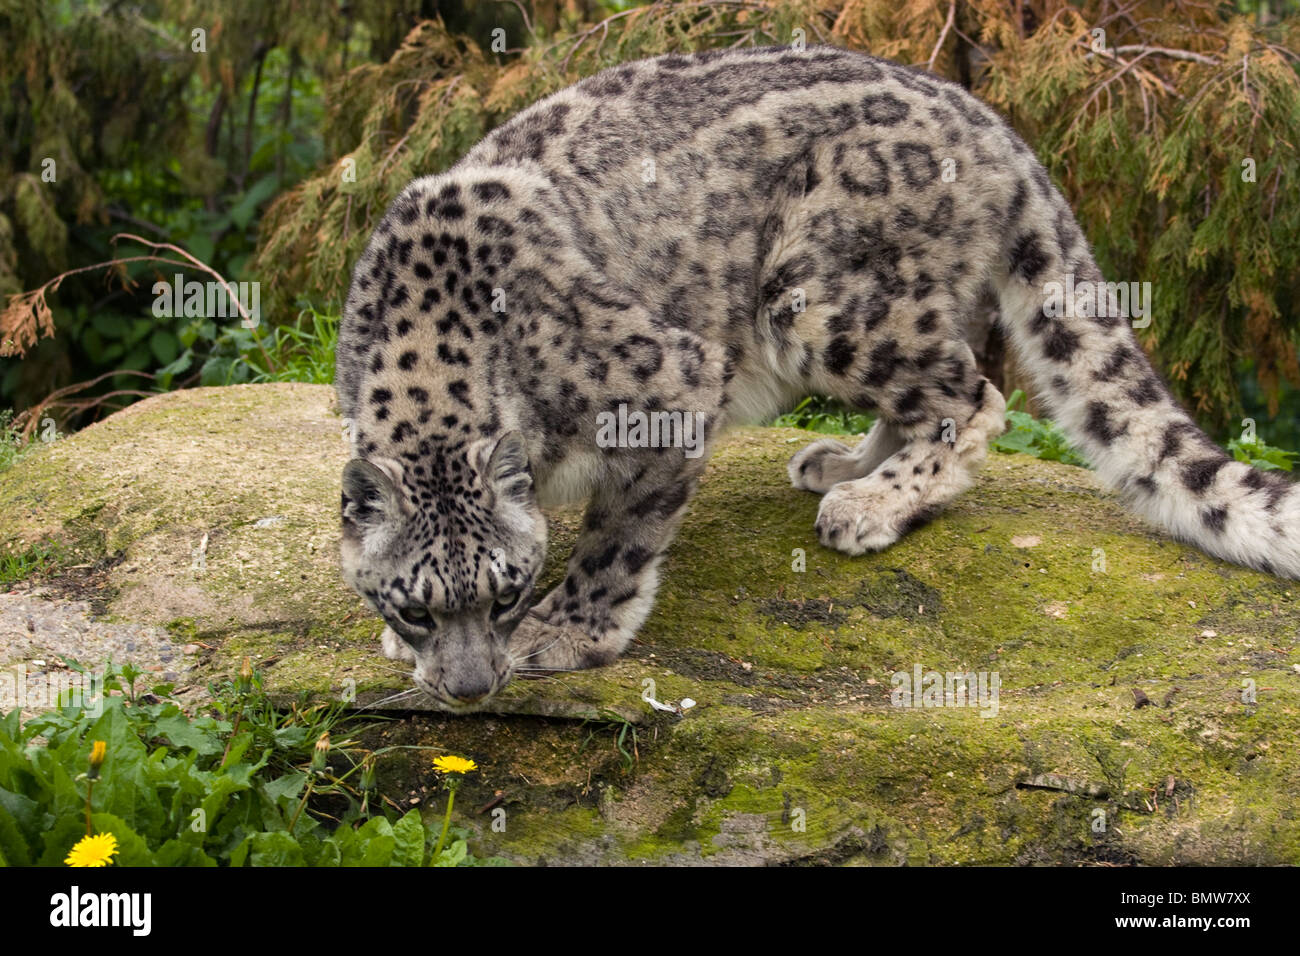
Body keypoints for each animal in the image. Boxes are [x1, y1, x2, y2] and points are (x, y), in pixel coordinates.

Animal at [332, 44, 1289, 712]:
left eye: (506, 593)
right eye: (416, 608)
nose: (469, 690)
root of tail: (988, 120)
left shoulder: (670, 385)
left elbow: (620, 538)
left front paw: (569, 632)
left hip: (818, 296)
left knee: (970, 391)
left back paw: (869, 505)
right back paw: (840, 464)